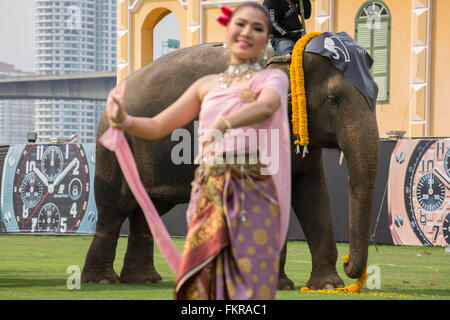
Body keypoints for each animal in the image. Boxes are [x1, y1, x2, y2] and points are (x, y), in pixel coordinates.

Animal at [81, 42, 380, 290]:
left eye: (377, 92)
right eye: (334, 100)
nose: (348, 262)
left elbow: (313, 194)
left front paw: (328, 286)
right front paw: (278, 284)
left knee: (146, 210)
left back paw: (143, 280)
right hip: (114, 148)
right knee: (114, 209)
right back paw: (103, 280)